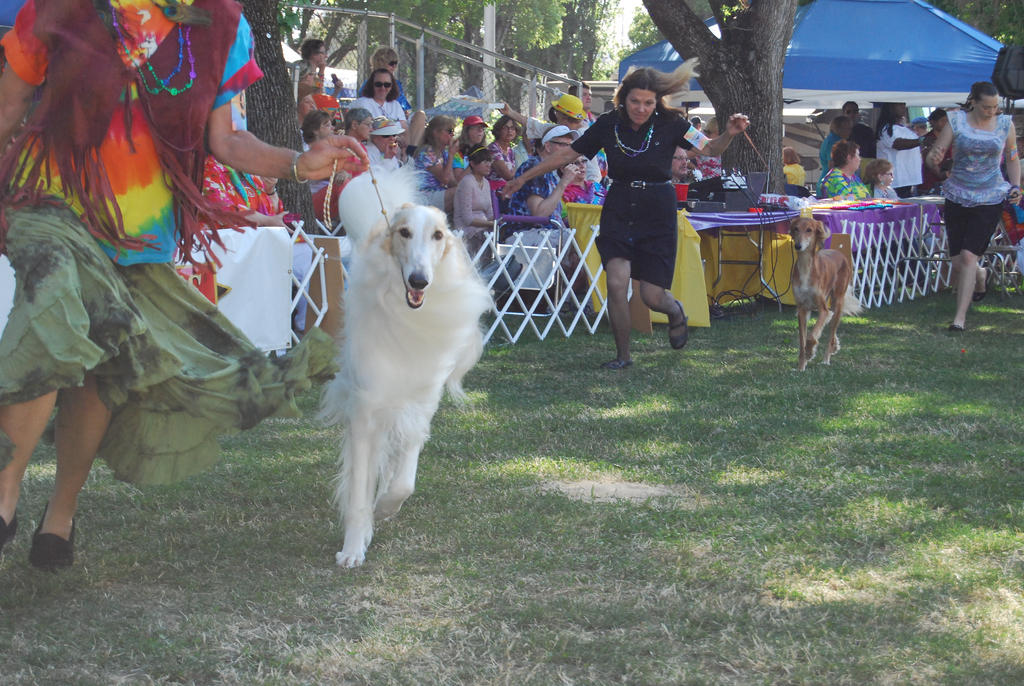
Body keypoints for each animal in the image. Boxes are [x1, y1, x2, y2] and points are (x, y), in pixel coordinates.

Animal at [321, 167, 493, 569]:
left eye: (438, 235)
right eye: (404, 233)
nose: (419, 281)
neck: (402, 313)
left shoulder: (419, 405)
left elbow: (404, 481)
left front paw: (385, 507)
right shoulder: (365, 409)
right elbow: (359, 492)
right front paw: (354, 547)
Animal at [786, 219, 860, 370]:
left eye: (809, 230)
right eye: (795, 228)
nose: (798, 246)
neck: (805, 267)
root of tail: (839, 252)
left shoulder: (822, 309)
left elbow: (811, 336)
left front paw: (809, 352)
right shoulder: (802, 309)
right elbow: (802, 341)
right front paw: (801, 367)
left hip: (838, 301)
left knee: (831, 331)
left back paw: (826, 359)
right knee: (831, 325)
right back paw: (835, 345)